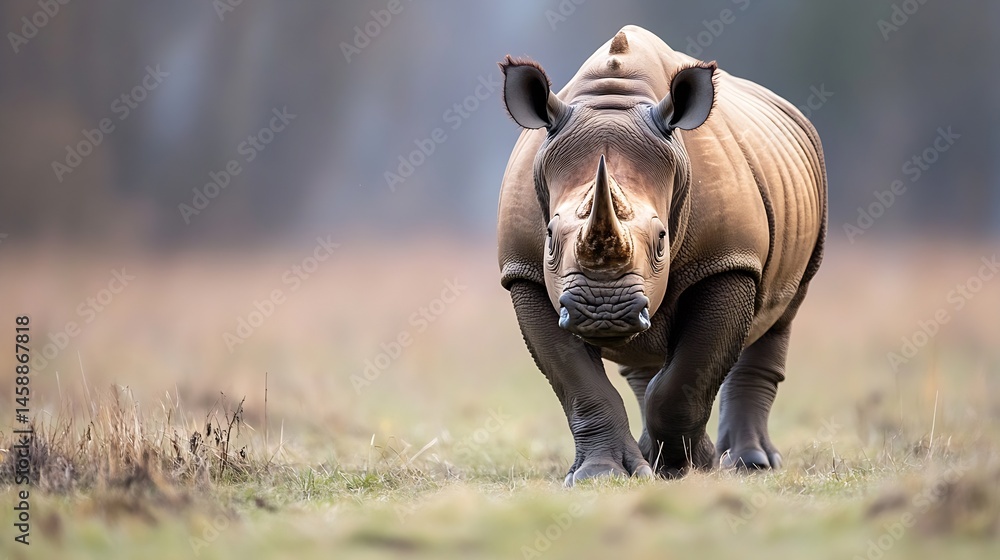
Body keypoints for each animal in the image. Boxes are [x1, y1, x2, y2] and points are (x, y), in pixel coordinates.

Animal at [497, 25, 827, 485]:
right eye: (549, 237)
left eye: (661, 239)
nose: (603, 312)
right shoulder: (523, 270)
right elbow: (577, 384)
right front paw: (601, 476)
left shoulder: (728, 261)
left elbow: (689, 377)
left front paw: (688, 466)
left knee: (782, 312)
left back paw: (750, 463)